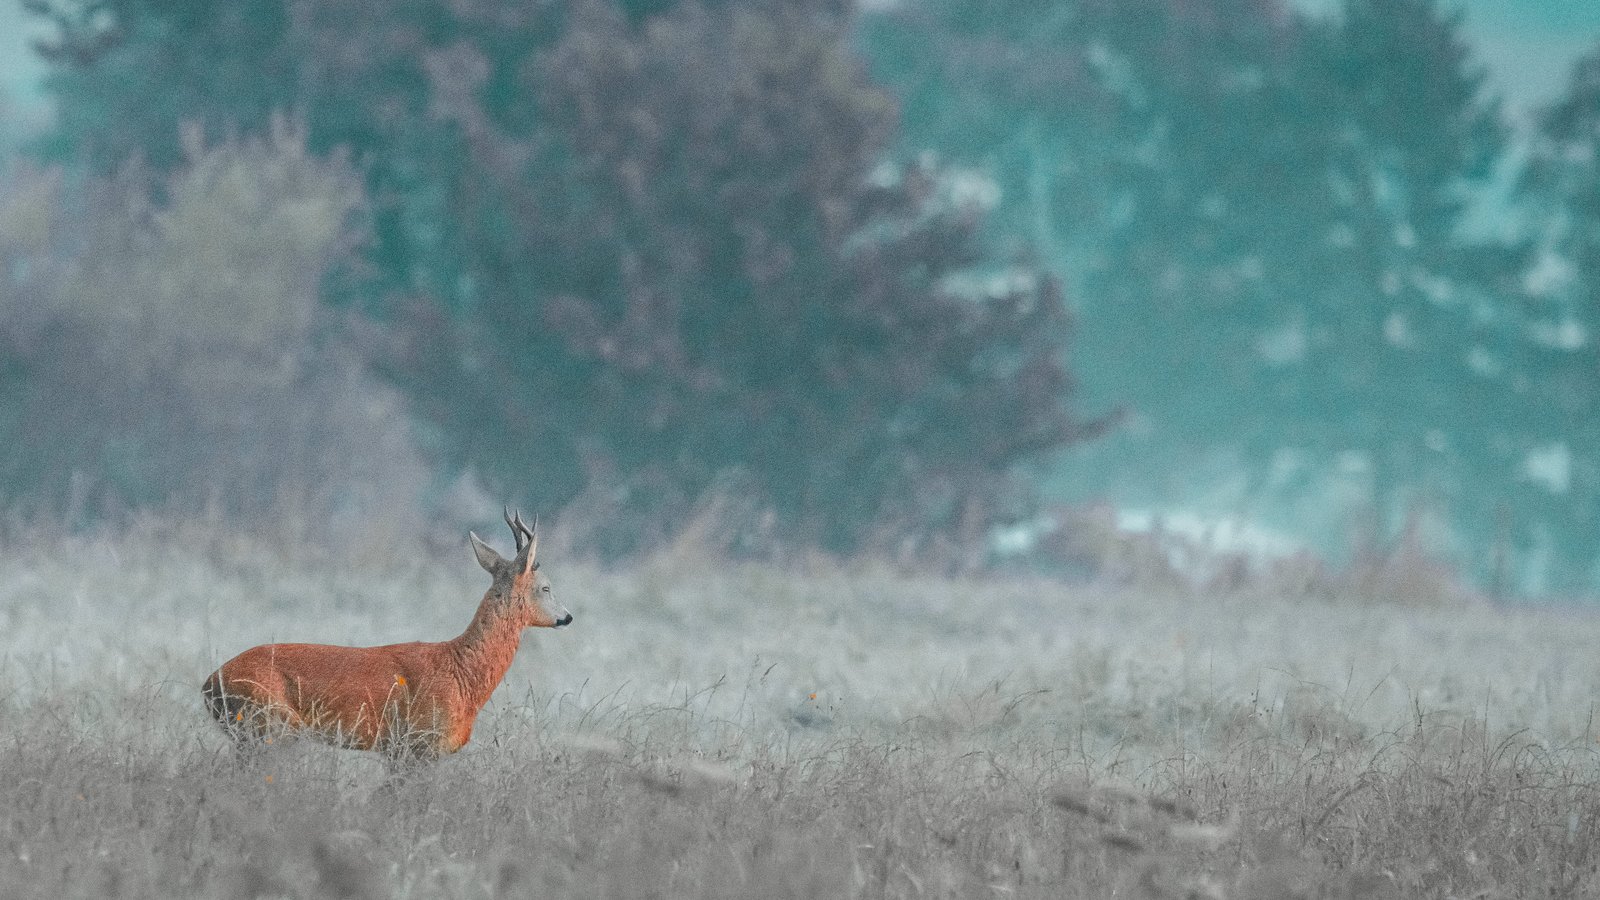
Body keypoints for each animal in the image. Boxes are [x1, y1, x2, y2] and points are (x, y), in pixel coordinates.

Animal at [202, 510, 571, 761]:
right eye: (546, 587)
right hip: (270, 726)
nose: (566, 616)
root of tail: (209, 684)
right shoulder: (416, 743)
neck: (461, 673)